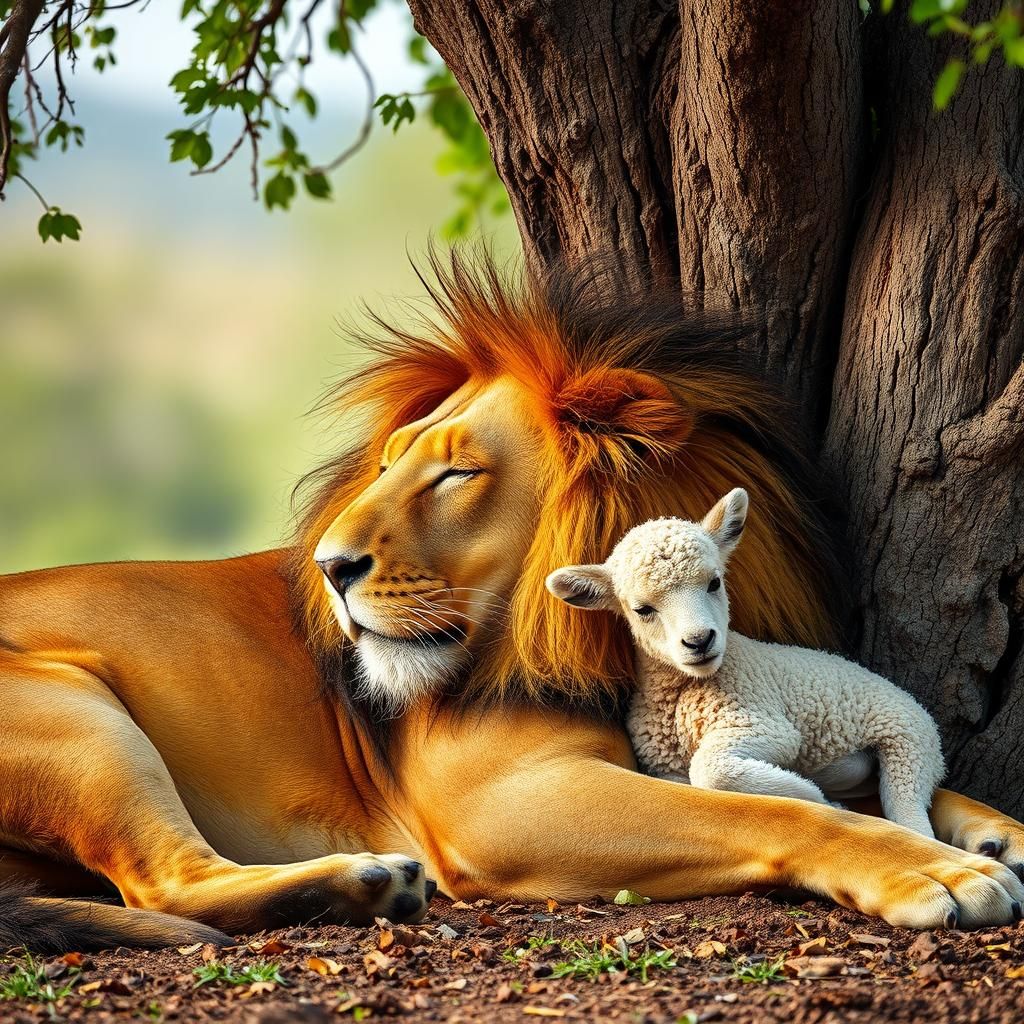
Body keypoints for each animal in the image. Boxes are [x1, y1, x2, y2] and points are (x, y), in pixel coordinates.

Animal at [546, 488, 945, 838]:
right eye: (642, 610)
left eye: (715, 582)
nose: (700, 641)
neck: (687, 689)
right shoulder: (667, 769)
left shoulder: (762, 723)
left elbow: (711, 771)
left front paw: (816, 799)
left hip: (910, 739)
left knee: (909, 808)